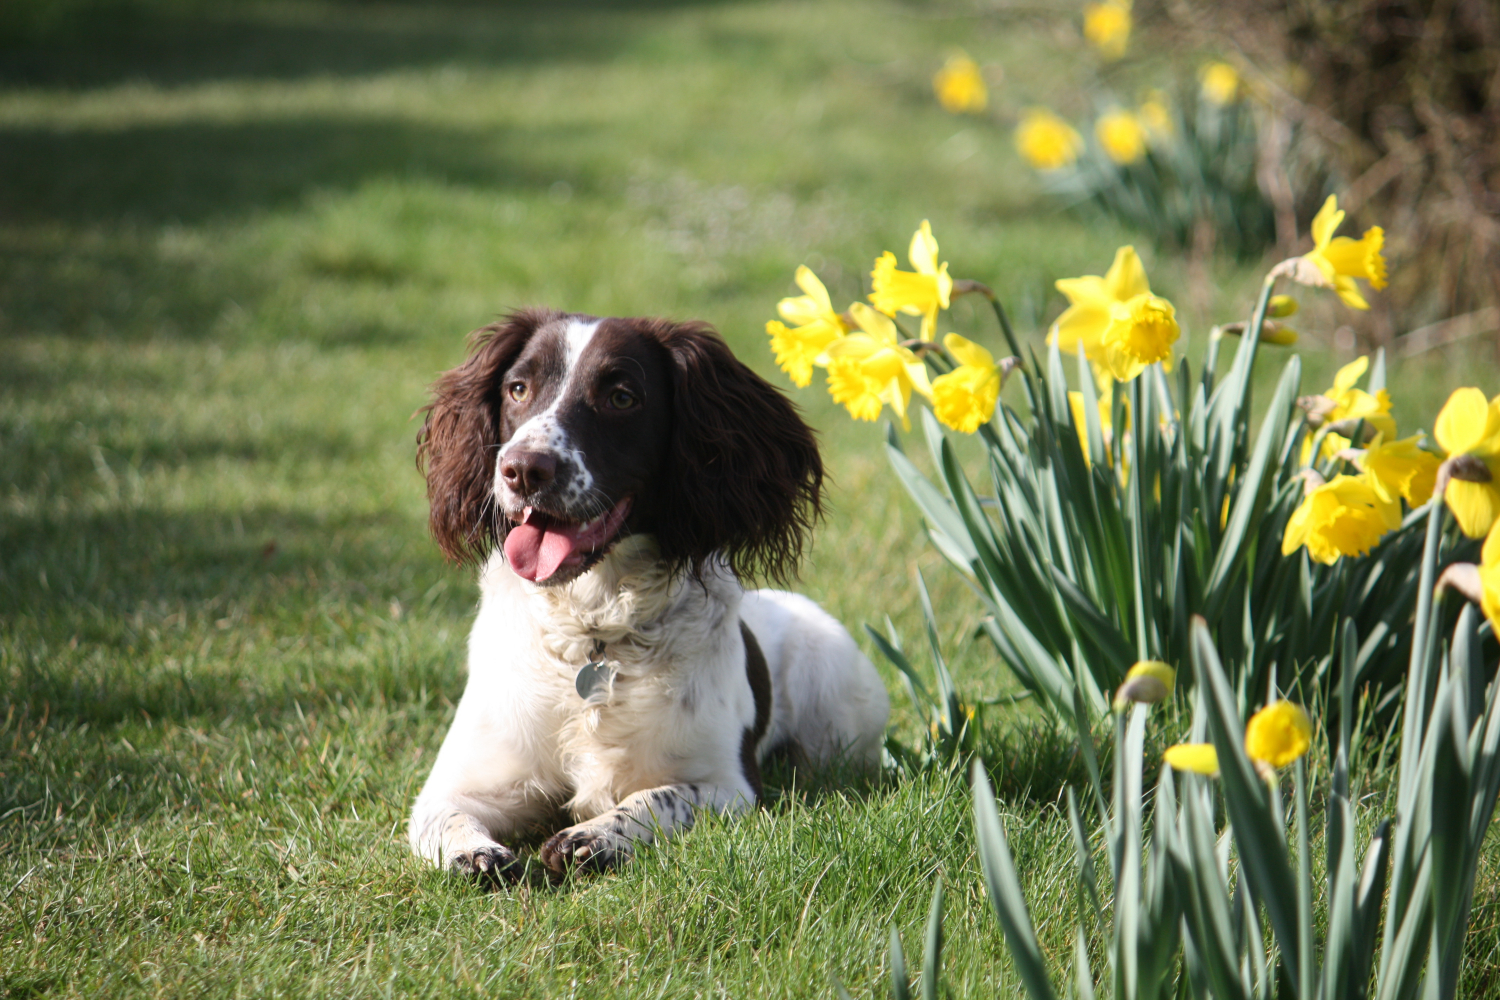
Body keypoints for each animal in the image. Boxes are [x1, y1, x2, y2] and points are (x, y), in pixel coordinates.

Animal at [405, 308, 888, 881]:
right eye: (518, 388)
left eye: (621, 397)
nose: (523, 469)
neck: (594, 632)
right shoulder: (459, 784)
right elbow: (448, 818)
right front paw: (475, 854)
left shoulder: (729, 784)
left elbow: (656, 798)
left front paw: (594, 836)